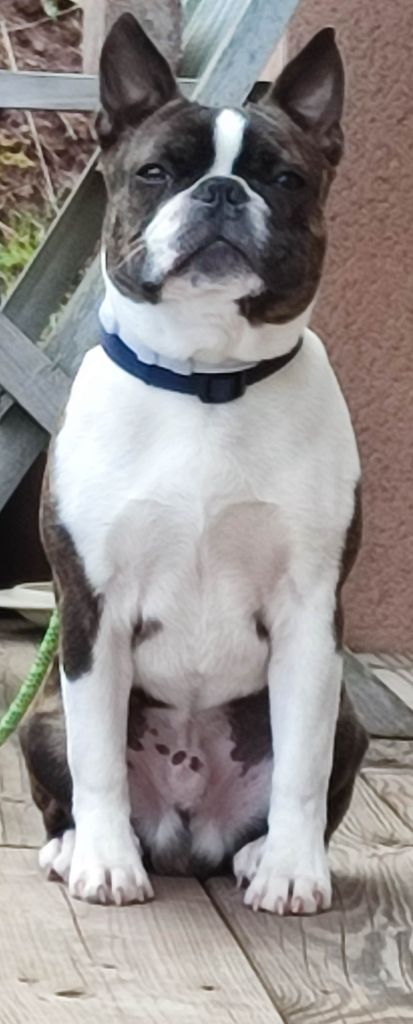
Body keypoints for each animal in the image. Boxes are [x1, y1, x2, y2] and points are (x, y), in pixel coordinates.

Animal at [21, 14, 368, 914]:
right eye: (155, 172)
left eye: (283, 177)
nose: (219, 192)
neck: (206, 380)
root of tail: (187, 835)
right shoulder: (92, 609)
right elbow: (97, 760)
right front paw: (107, 864)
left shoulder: (310, 614)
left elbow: (303, 770)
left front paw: (291, 872)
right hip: (42, 714)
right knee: (68, 775)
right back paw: (72, 847)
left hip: (349, 715)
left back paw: (261, 855)